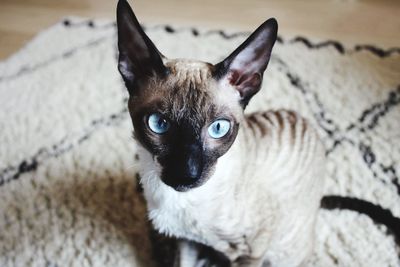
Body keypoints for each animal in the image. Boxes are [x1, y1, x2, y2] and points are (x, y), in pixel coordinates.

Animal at [115, 1, 324, 266]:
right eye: (158, 123)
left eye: (218, 128)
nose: (187, 174)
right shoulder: (187, 240)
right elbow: (181, 262)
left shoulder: (252, 249)